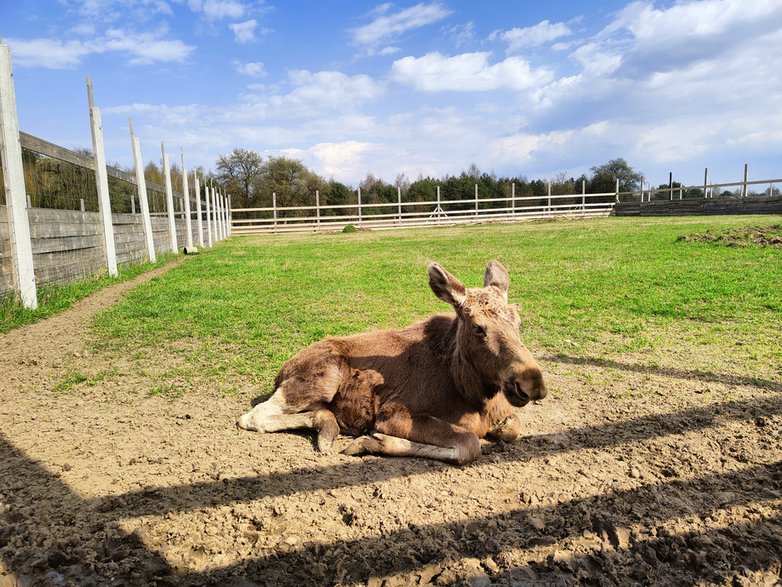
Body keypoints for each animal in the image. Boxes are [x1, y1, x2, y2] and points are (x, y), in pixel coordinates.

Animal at [236, 262, 548, 464]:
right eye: (478, 328)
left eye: (519, 322)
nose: (531, 383)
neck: (475, 395)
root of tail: (281, 372)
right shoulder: (392, 412)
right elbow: (469, 444)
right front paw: (373, 440)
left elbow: (512, 429)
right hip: (323, 378)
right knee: (252, 415)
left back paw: (327, 424)